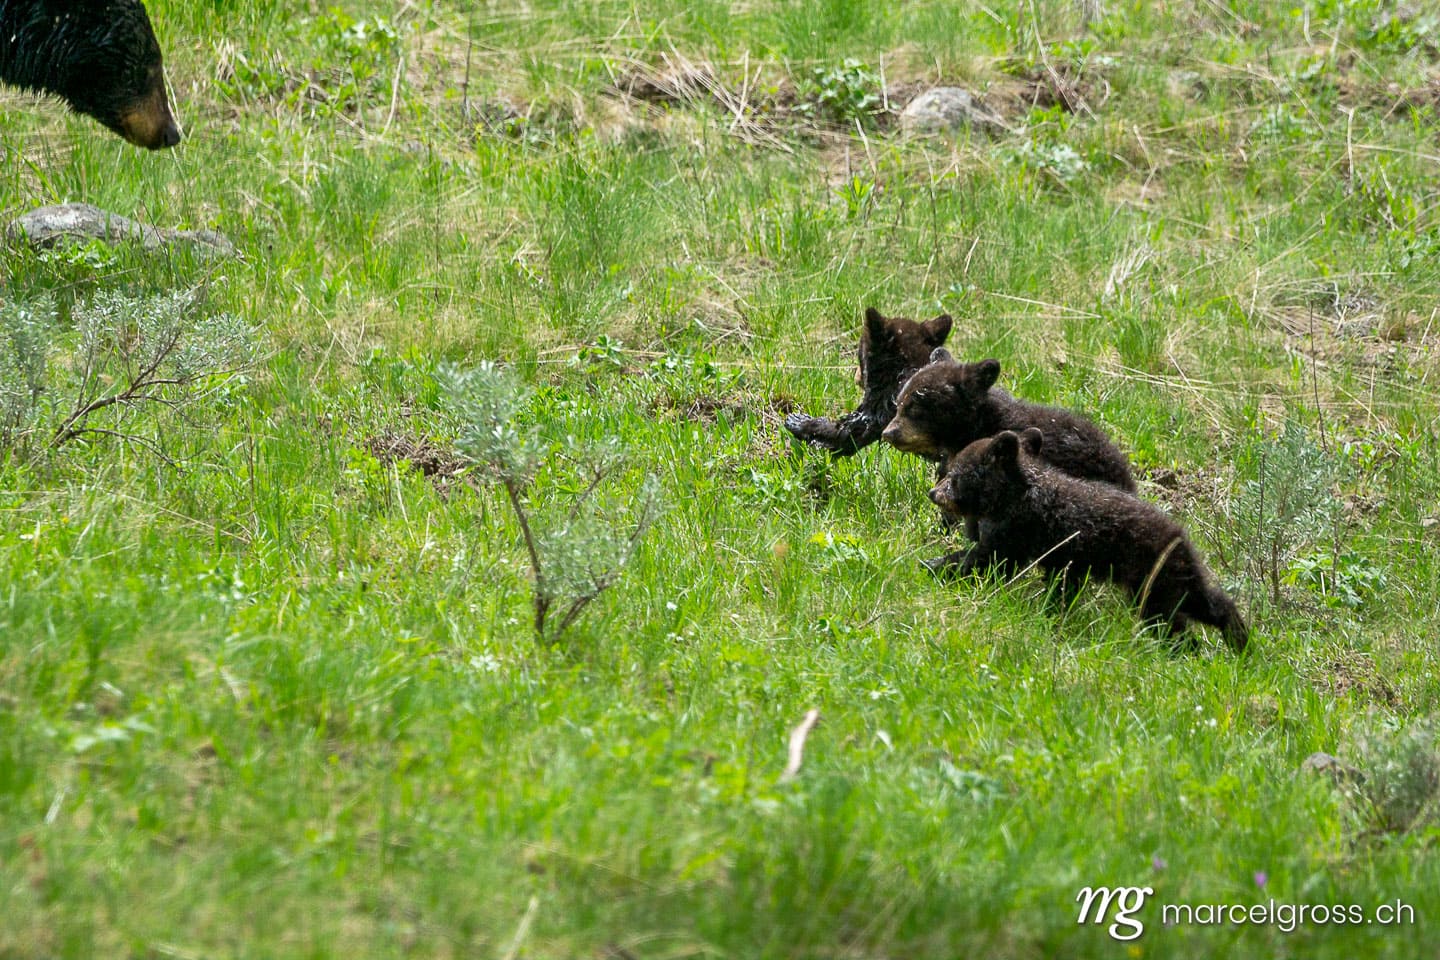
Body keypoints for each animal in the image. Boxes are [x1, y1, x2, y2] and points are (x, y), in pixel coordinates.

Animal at [929, 428, 1249, 653]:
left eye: (955, 475)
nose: (933, 493)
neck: (1008, 497)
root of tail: (1179, 535)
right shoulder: (1056, 556)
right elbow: (1055, 585)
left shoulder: (1016, 528)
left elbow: (991, 559)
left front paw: (937, 565)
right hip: (1175, 573)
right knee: (1207, 601)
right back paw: (1238, 638)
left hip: (1149, 577)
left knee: (1166, 618)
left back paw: (1185, 648)